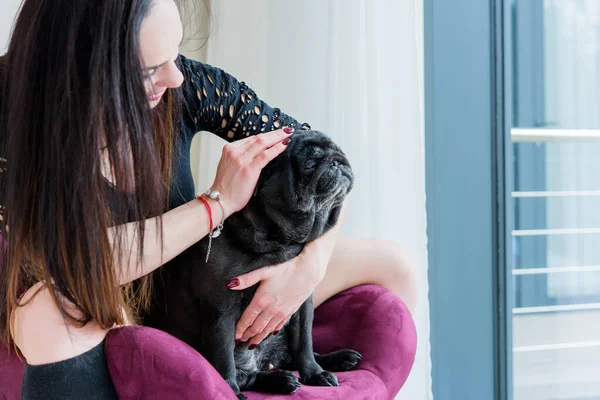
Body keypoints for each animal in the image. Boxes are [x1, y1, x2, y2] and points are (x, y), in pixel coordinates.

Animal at [144, 130, 360, 396]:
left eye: (338, 151)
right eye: (310, 163)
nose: (337, 161)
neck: (278, 241)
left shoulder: (300, 305)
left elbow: (305, 346)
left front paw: (315, 374)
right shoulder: (221, 312)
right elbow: (223, 358)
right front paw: (230, 391)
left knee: (294, 356)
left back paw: (337, 359)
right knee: (250, 375)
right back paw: (279, 379)